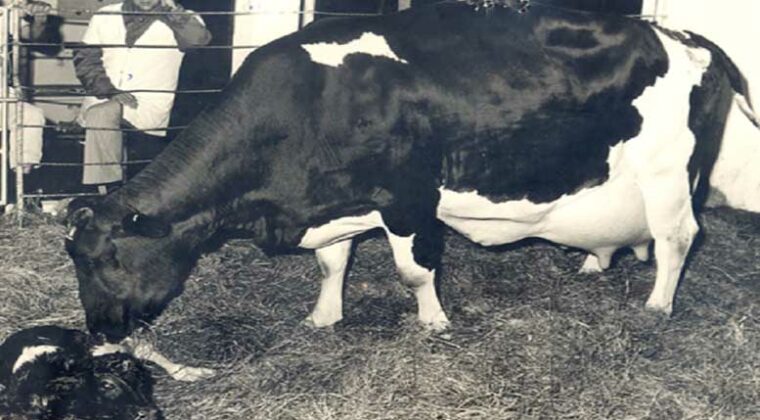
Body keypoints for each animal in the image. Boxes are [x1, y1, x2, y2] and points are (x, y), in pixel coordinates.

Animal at [64, 0, 755, 376]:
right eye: (76, 260)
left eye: (109, 261)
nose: (98, 331)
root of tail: (686, 39)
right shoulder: (335, 203)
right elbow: (331, 263)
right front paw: (323, 316)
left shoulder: (408, 199)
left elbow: (415, 271)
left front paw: (433, 324)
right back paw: (596, 261)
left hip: (668, 173)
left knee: (678, 238)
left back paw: (658, 306)